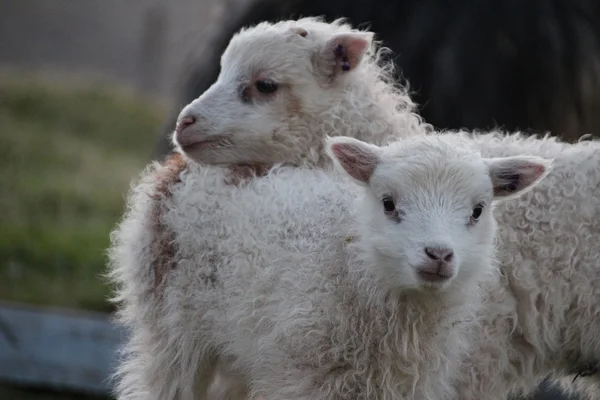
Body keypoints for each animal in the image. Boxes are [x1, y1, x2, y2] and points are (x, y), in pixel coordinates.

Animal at [106, 133, 548, 398]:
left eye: (477, 210)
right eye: (388, 203)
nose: (438, 255)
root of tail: (179, 165)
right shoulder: (304, 374)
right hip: (172, 328)